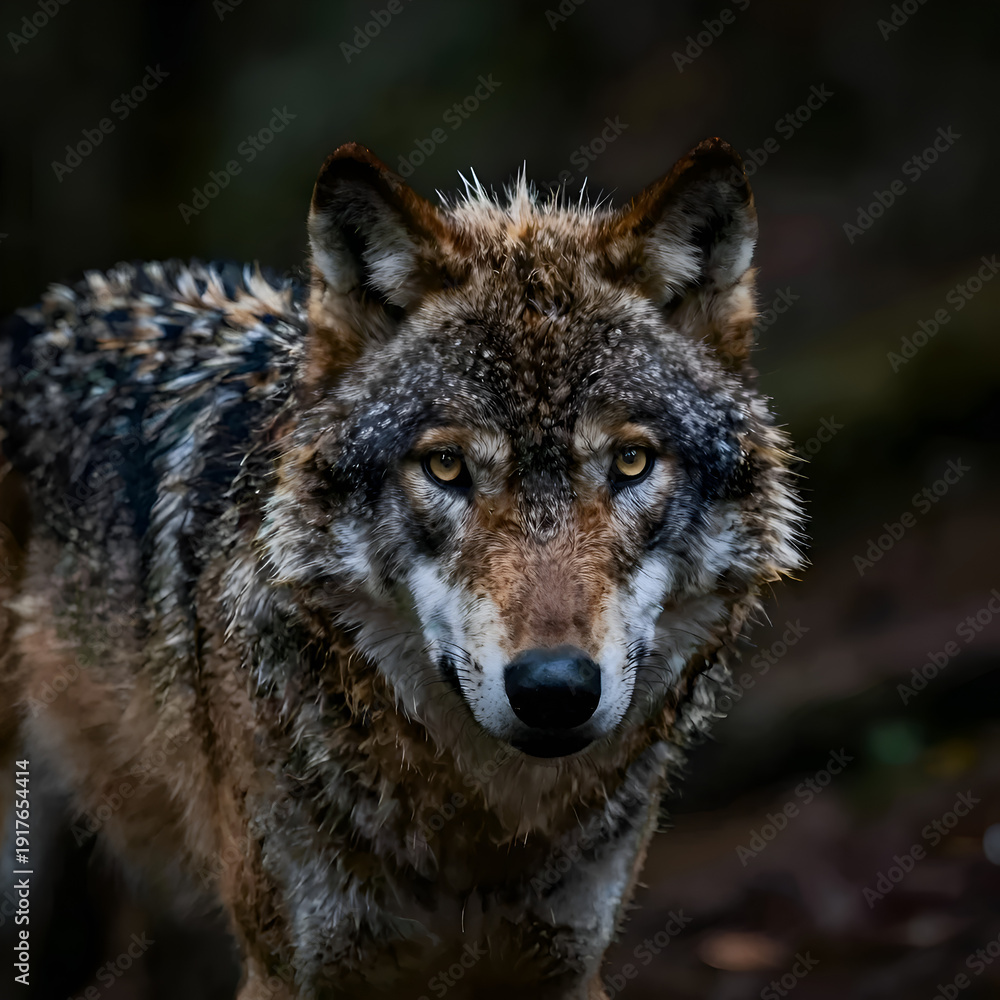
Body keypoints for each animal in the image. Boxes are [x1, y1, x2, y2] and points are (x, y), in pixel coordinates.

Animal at [0, 138, 802, 999]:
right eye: (446, 467)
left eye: (630, 462)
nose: (554, 688)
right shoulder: (287, 972)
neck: (480, 839)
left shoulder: (568, 966)